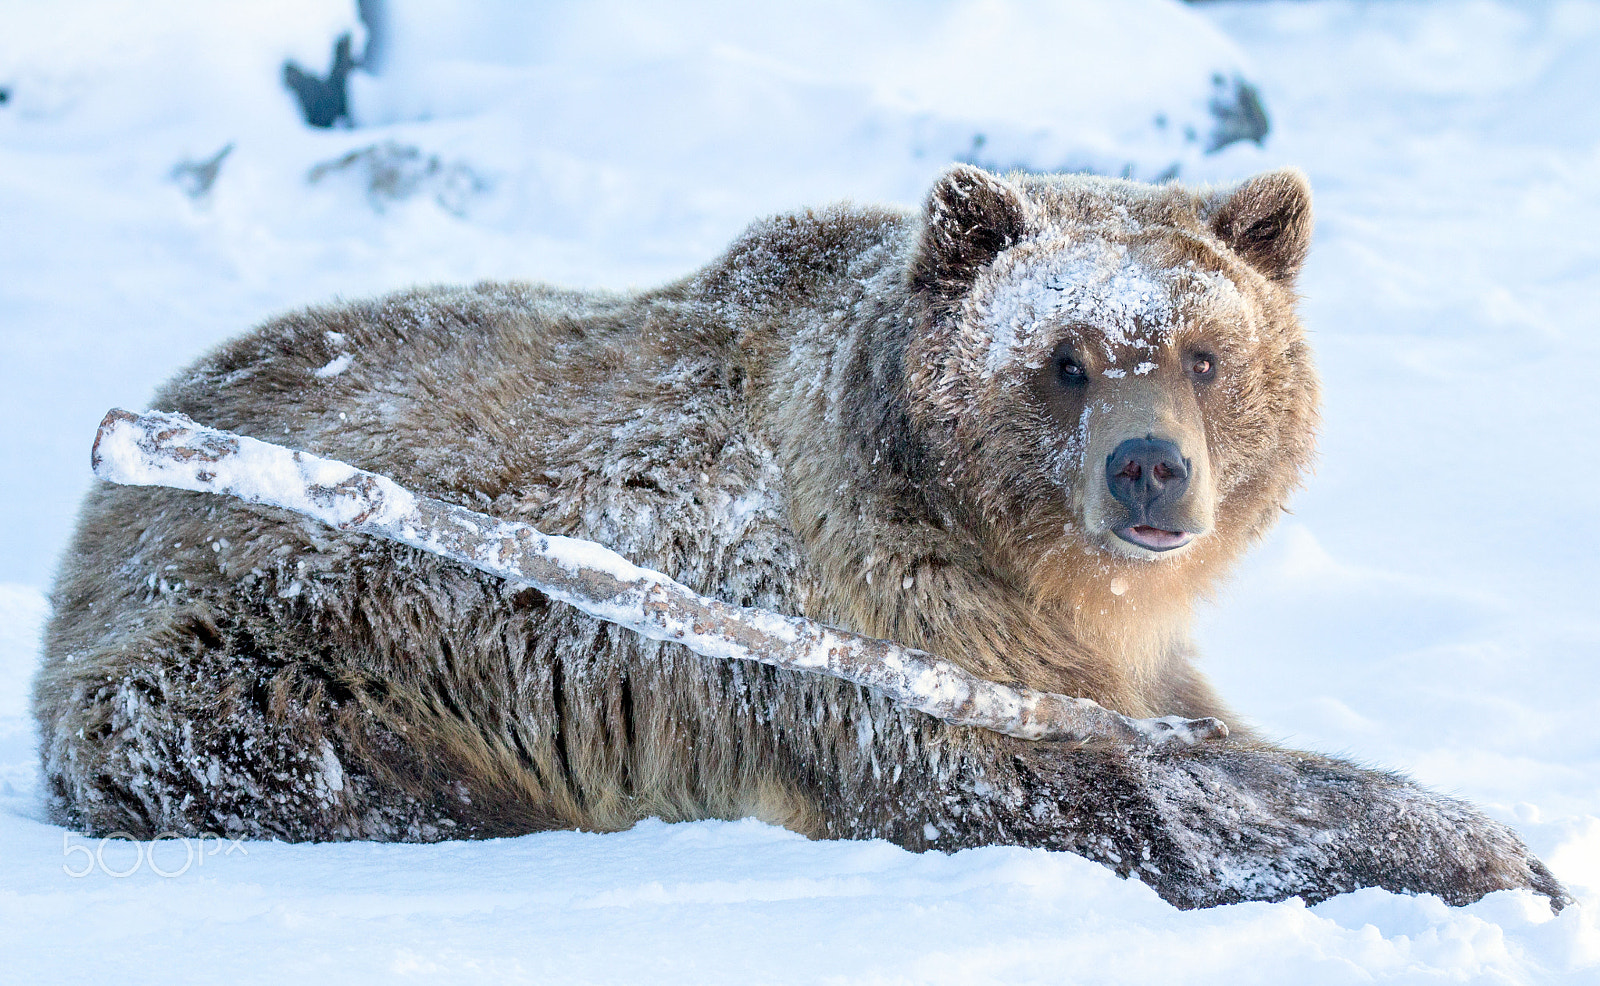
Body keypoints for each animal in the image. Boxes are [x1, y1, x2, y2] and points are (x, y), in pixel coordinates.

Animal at [33, 165, 1568, 910]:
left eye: (1202, 353)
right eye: (1063, 359)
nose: (1149, 474)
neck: (1031, 568)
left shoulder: (1101, 649)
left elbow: (1205, 735)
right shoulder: (875, 628)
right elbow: (1077, 790)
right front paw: (1497, 853)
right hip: (269, 650)